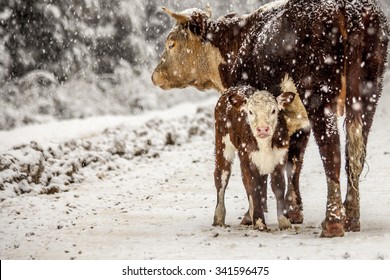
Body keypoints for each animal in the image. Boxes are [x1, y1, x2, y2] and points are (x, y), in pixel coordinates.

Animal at [213, 76, 308, 230]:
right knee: (221, 177)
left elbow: (278, 187)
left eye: (274, 110)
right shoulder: (247, 159)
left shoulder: (279, 158)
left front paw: (284, 221)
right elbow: (253, 187)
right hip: (222, 144)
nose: (262, 129)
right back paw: (219, 218)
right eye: (250, 112)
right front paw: (259, 222)